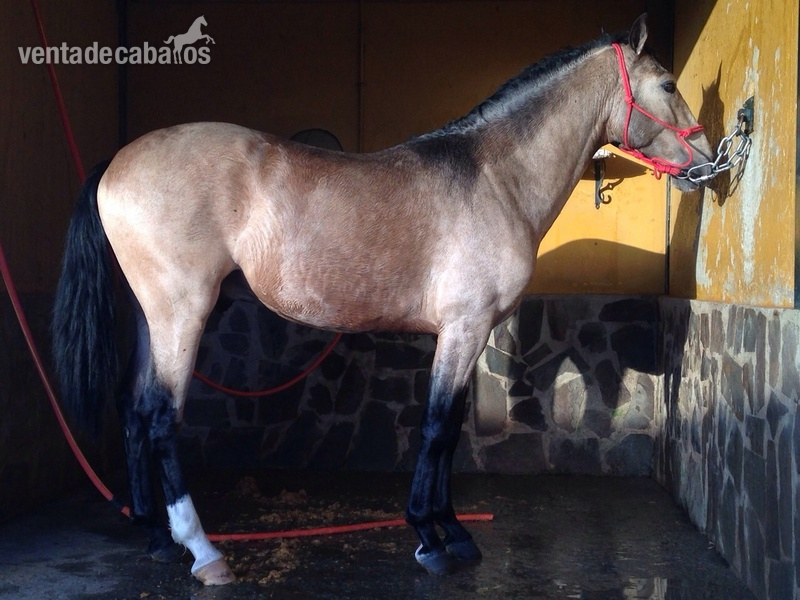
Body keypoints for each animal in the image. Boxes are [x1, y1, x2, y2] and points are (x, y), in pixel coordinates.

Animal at [52, 15, 712, 585]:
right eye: (668, 84)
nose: (707, 161)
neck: (495, 176)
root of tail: (117, 161)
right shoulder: (463, 329)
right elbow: (437, 427)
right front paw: (429, 538)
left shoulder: (467, 335)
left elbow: (448, 430)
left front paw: (453, 532)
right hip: (182, 312)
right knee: (162, 418)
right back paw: (204, 552)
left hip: (151, 316)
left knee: (134, 411)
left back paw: (159, 540)